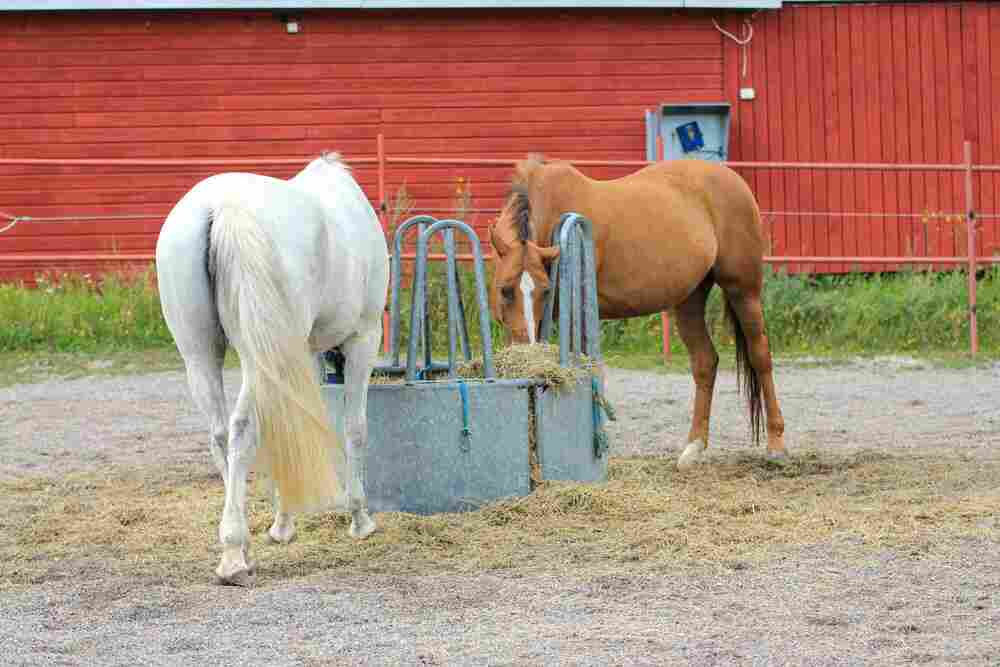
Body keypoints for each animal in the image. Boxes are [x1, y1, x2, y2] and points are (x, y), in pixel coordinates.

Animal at [155, 153, 389, 585]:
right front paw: (359, 517)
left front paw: (283, 523)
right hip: (256, 358)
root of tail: (224, 207)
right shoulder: (364, 337)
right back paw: (233, 554)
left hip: (200, 355)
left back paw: (240, 546)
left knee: (220, 434)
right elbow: (354, 427)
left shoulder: (300, 351)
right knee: (242, 428)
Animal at [488, 156, 786, 469]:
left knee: (760, 356)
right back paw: (692, 449)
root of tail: (734, 180)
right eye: (505, 290)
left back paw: (776, 443)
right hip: (690, 300)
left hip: (743, 290)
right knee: (705, 363)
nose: (525, 348)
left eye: (545, 290)